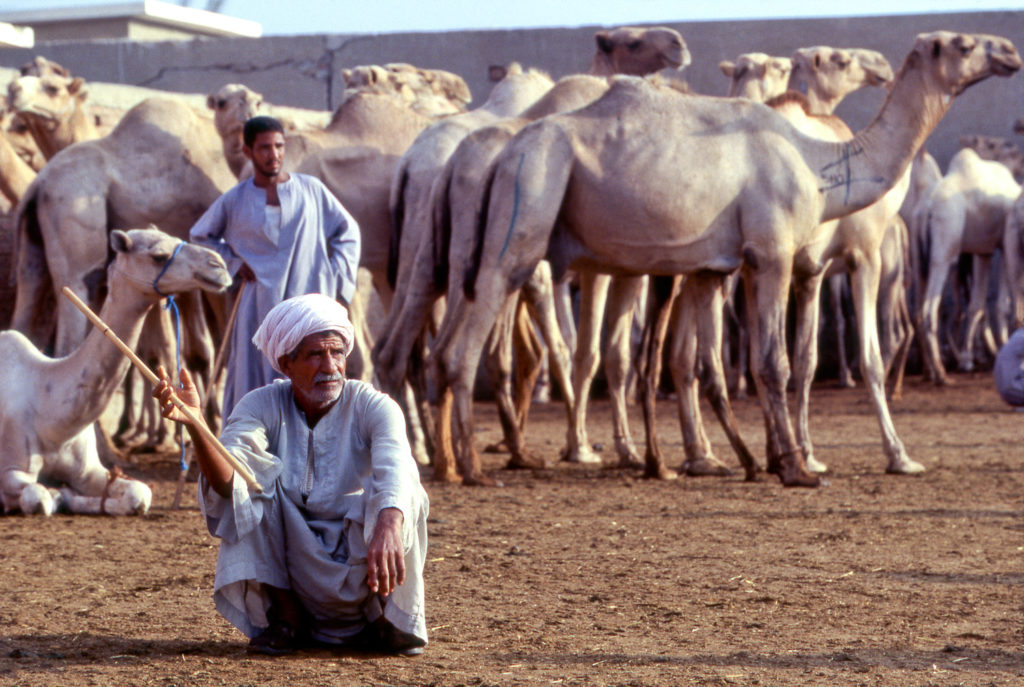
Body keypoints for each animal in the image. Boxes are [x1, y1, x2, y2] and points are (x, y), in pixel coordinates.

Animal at [1, 227, 230, 516]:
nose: (218, 266)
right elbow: (37, 497)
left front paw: (68, 493)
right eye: (159, 255)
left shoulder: (88, 470)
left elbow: (139, 492)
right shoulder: (12, 470)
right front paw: (47, 495)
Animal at [909, 147, 1019, 384]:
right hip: (943, 253)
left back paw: (929, 371)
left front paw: (967, 359)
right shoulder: (1006, 244)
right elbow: (1002, 304)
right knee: (929, 310)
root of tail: (927, 208)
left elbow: (976, 306)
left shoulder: (983, 251)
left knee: (918, 310)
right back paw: (941, 374)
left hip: (919, 257)